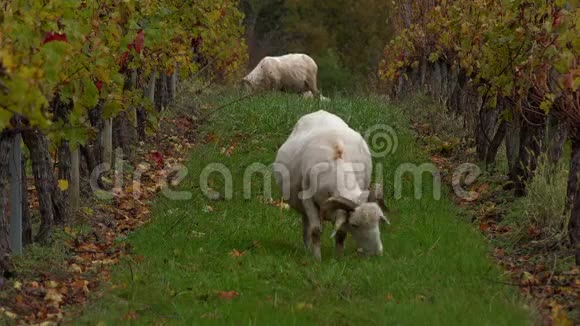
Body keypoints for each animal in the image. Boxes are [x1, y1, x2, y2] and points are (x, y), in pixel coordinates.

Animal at [274, 110, 390, 260]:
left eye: (378, 221)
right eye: (355, 225)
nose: (377, 253)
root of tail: (320, 111)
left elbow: (340, 234)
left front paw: (338, 258)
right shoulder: (307, 200)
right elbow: (316, 230)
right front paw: (317, 259)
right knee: (306, 225)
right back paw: (307, 250)